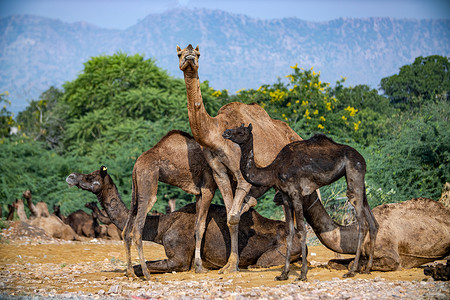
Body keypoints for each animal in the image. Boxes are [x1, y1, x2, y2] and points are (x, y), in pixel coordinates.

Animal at [65, 165, 304, 274]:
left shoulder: (179, 259)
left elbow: (140, 266)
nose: (71, 176)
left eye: (91, 177)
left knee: (262, 262)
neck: (162, 227)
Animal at [178, 42, 304, 274]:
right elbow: (230, 217)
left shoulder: (242, 174)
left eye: (198, 53)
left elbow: (234, 216)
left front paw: (231, 265)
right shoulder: (219, 173)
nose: (189, 54)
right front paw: (230, 264)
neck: (216, 135)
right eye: (179, 52)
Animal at [223, 123, 378, 280]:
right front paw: (283, 274)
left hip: (353, 173)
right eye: (235, 127)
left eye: (241, 131)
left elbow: (302, 231)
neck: (273, 170)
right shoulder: (286, 198)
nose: (226, 132)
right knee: (372, 222)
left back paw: (352, 270)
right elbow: (289, 232)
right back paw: (367, 268)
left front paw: (303, 273)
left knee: (362, 223)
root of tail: (362, 158)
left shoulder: (296, 193)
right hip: (360, 183)